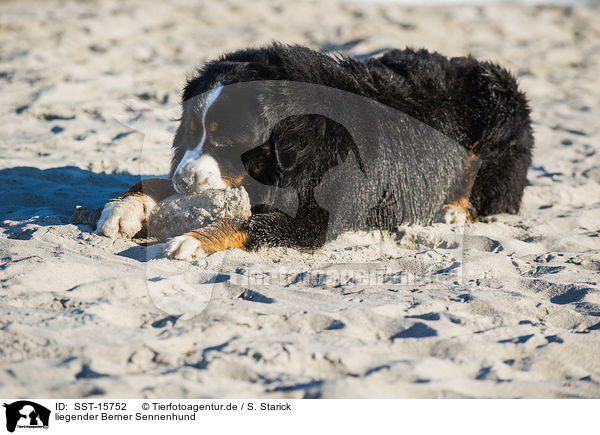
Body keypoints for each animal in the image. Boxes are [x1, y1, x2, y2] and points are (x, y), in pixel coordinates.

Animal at [96, 43, 532, 262]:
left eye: (224, 142)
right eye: (190, 133)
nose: (185, 181)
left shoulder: (314, 219)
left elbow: (250, 222)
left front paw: (192, 239)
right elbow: (151, 183)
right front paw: (121, 210)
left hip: (497, 118)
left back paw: (454, 209)